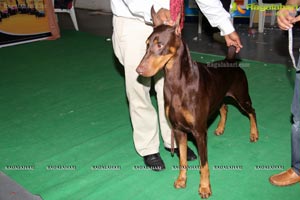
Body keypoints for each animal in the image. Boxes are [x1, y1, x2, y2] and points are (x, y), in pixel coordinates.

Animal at [137, 7, 258, 198]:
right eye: (147, 44)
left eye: (160, 45)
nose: (138, 70)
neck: (177, 83)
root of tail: (230, 60)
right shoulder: (178, 130)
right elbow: (182, 159)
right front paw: (181, 180)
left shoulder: (200, 132)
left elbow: (204, 164)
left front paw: (205, 187)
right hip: (219, 97)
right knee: (224, 108)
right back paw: (220, 128)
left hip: (242, 97)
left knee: (252, 111)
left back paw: (254, 134)